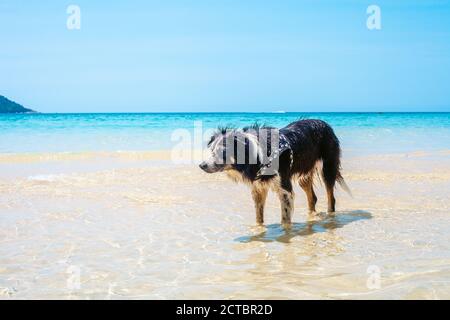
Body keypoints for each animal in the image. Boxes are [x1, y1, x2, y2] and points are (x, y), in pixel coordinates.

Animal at [199, 119, 350, 226]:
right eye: (211, 150)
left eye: (222, 152)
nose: (201, 165)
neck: (258, 154)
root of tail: (325, 124)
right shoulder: (258, 187)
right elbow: (259, 216)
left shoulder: (284, 187)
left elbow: (285, 217)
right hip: (304, 174)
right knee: (312, 197)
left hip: (327, 167)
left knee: (331, 197)